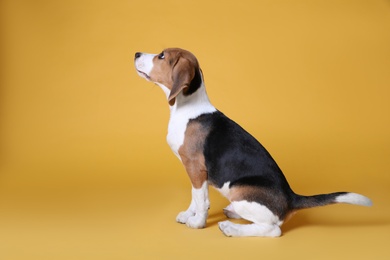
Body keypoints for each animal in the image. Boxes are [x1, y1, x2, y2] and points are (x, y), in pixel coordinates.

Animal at [133, 47, 372, 237]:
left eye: (162, 55)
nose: (136, 53)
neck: (188, 108)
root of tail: (291, 198)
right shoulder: (196, 172)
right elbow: (195, 196)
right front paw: (188, 214)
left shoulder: (195, 167)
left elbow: (201, 199)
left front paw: (198, 222)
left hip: (239, 191)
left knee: (273, 229)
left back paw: (231, 228)